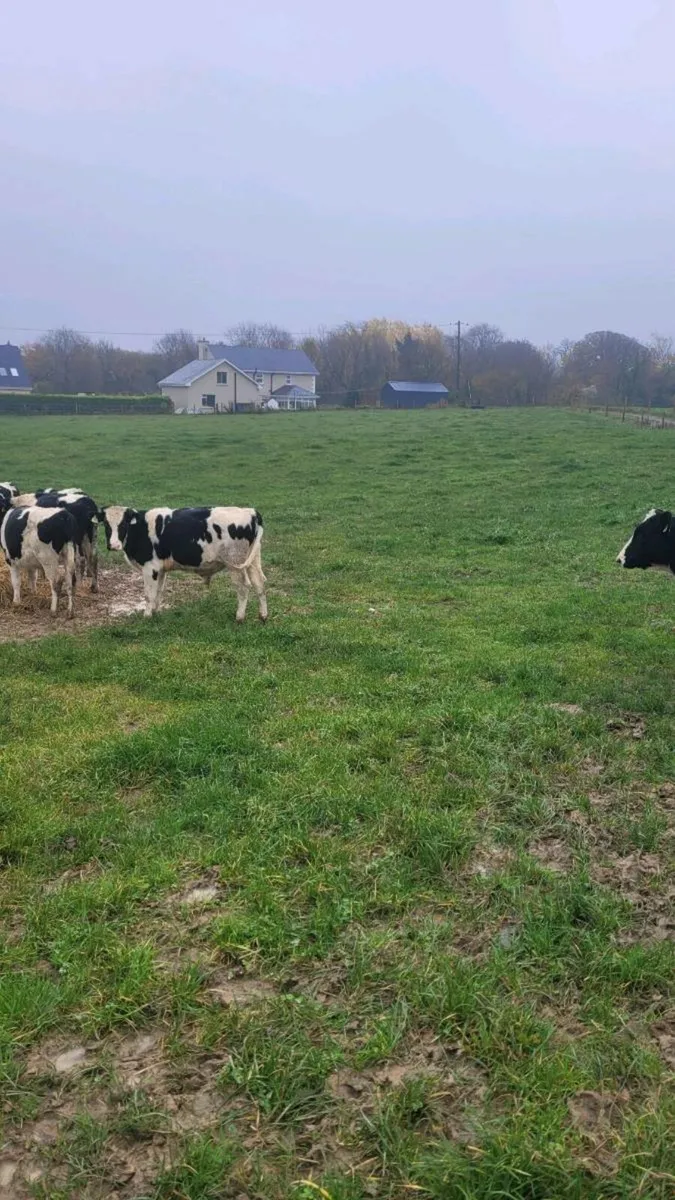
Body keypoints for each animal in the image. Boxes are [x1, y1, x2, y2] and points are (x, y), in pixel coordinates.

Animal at [100, 505, 267, 621]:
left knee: (243, 587)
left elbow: (149, 594)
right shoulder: (160, 569)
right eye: (106, 525)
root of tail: (250, 512)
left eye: (123, 524)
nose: (113, 545)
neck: (140, 529)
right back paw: (263, 616)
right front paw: (155, 612)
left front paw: (147, 616)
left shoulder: (149, 568)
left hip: (235, 563)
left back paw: (239, 617)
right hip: (252, 560)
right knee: (259, 583)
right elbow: (158, 592)